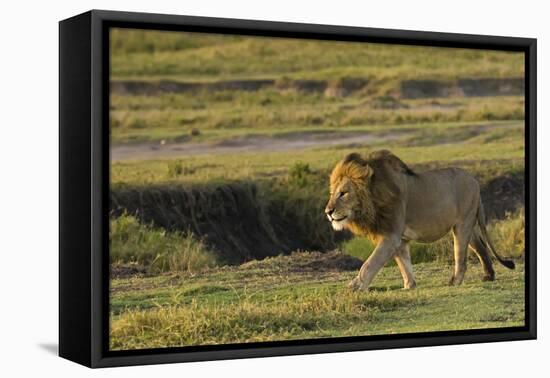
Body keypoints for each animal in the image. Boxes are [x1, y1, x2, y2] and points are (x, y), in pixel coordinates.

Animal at [326, 149, 516, 290]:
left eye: (343, 193)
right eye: (332, 193)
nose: (328, 211)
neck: (373, 199)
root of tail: (475, 180)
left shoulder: (391, 236)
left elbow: (370, 263)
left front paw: (354, 287)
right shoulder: (399, 239)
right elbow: (404, 263)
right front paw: (409, 286)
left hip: (462, 224)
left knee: (461, 257)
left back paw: (454, 281)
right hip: (468, 225)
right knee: (481, 246)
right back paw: (488, 275)